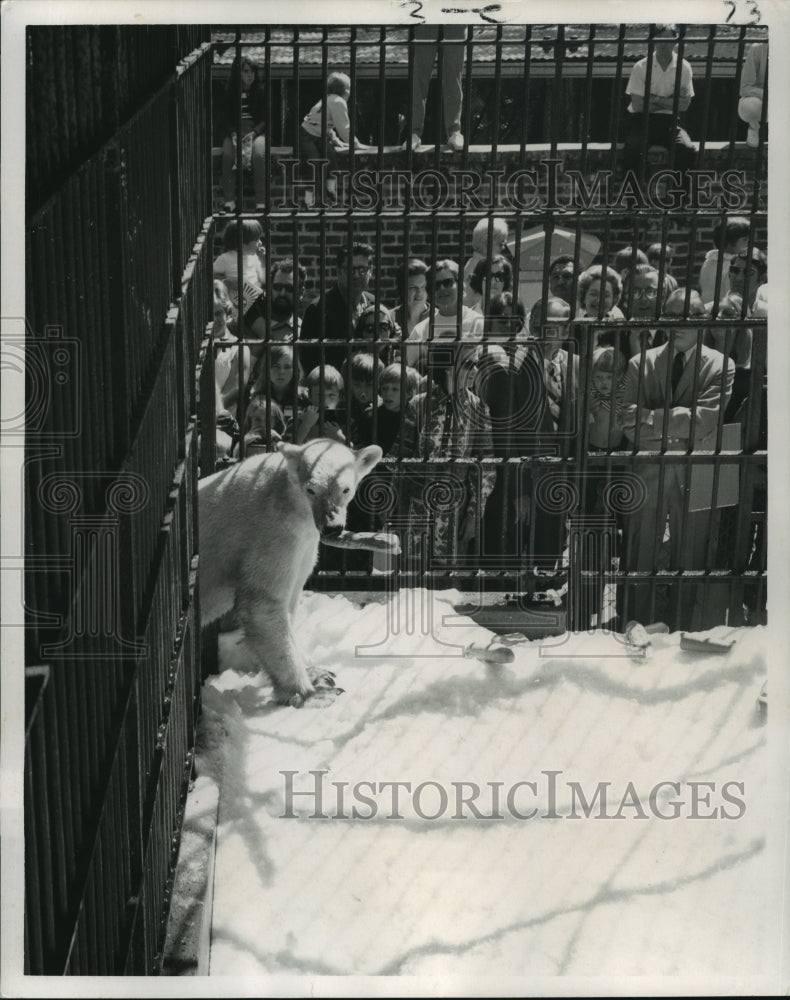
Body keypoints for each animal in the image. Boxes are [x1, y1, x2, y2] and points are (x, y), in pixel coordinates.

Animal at [198, 442, 384, 708]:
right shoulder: (271, 533)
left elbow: (290, 600)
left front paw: (318, 674)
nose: (332, 527)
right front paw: (313, 692)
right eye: (311, 489)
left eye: (346, 489)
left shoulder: (304, 547)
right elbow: (263, 604)